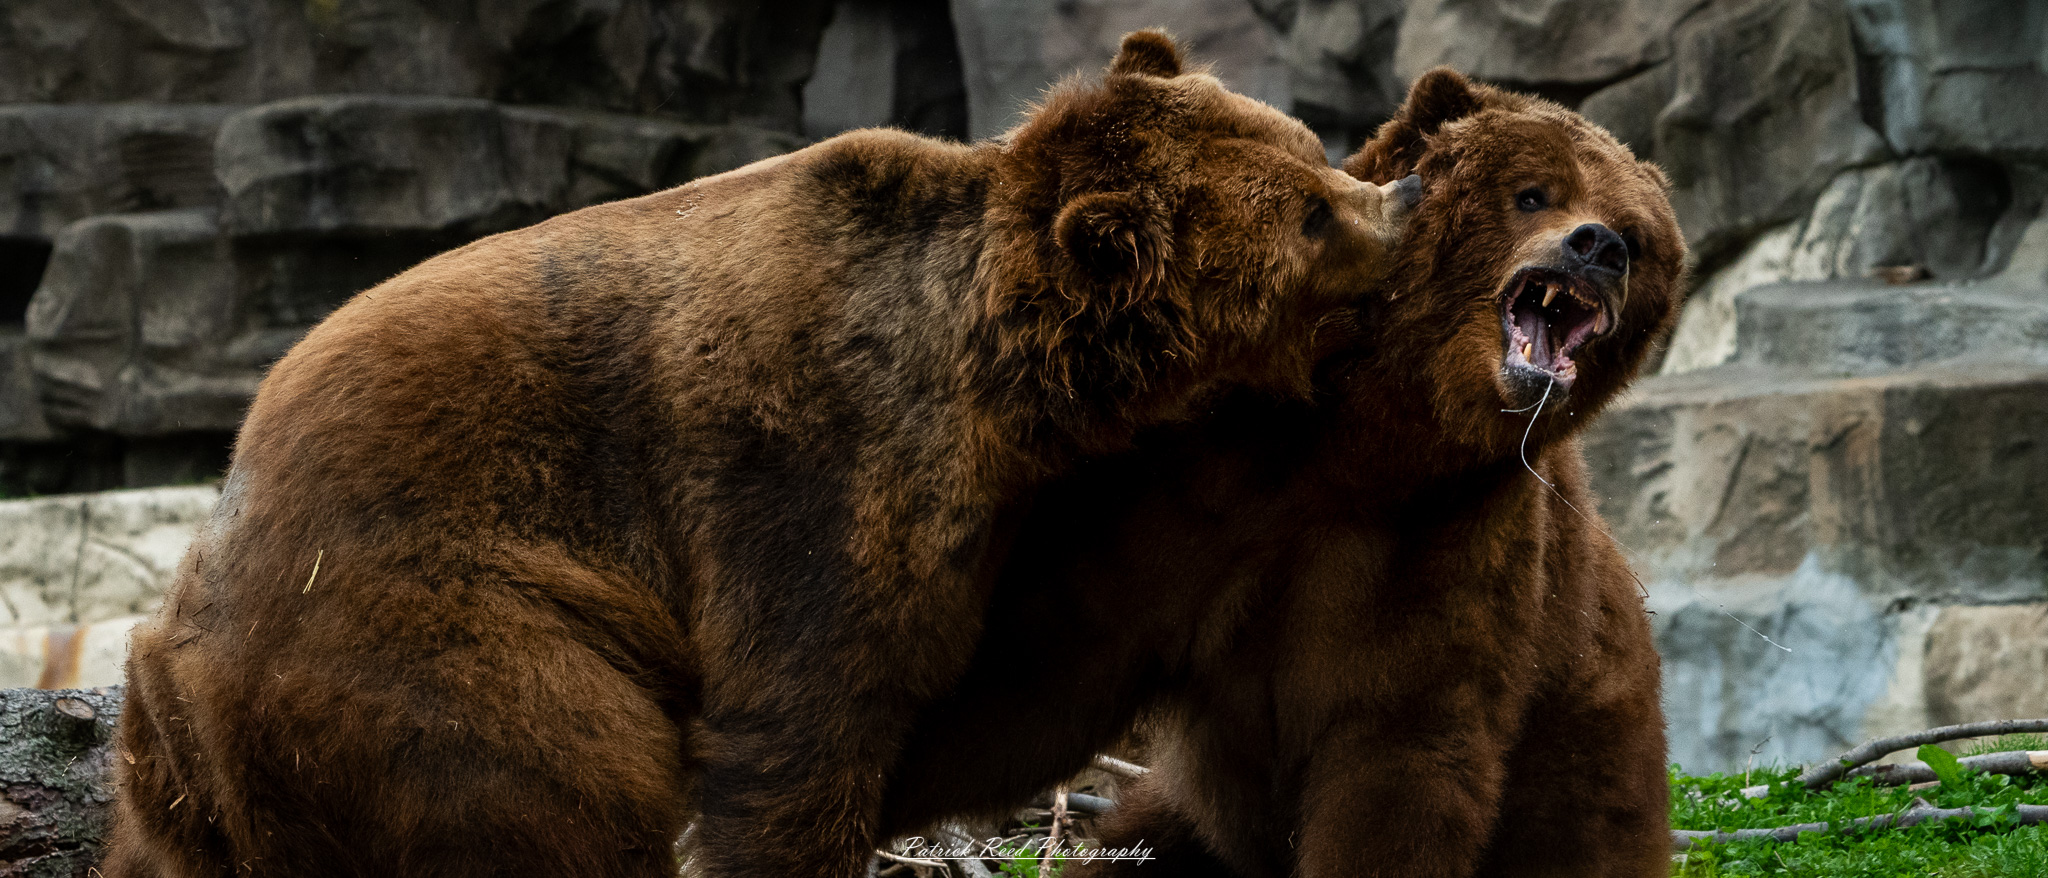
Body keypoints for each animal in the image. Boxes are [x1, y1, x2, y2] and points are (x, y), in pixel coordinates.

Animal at [100, 31, 1419, 878]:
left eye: (1307, 144)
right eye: (1307, 214)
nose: (1398, 200)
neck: (1000, 382)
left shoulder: (1018, 511)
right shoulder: (816, 467)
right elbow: (808, 715)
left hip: (179, 773)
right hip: (440, 628)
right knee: (555, 776)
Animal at [869, 68, 1688, 878]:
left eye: (1636, 236)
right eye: (1532, 193)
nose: (1598, 247)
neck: (1362, 444)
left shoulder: (1458, 543)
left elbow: (1400, 762)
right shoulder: (1204, 485)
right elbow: (1045, 663)